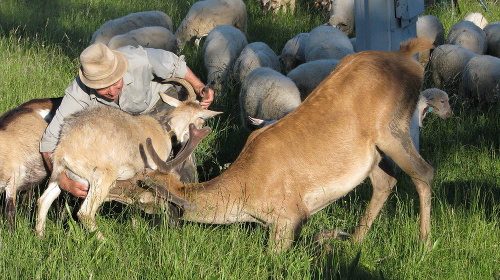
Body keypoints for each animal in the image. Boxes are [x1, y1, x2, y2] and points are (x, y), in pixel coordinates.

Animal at [135, 36, 436, 253]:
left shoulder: (289, 216)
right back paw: (355, 239)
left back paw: (424, 242)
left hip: (393, 130)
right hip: (372, 155)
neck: (245, 193)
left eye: (143, 188)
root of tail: (408, 55)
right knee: (386, 182)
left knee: (424, 172)